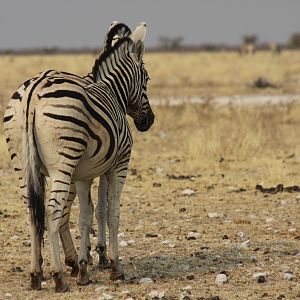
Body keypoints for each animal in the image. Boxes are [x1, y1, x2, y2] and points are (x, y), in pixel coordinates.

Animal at [4, 21, 155, 292]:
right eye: (147, 78)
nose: (149, 121)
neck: (112, 91)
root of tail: (33, 90)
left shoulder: (86, 173)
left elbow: (87, 213)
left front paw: (86, 265)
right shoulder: (117, 165)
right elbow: (110, 212)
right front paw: (112, 265)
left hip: (22, 163)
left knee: (34, 212)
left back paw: (37, 273)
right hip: (63, 162)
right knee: (53, 211)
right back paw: (59, 276)